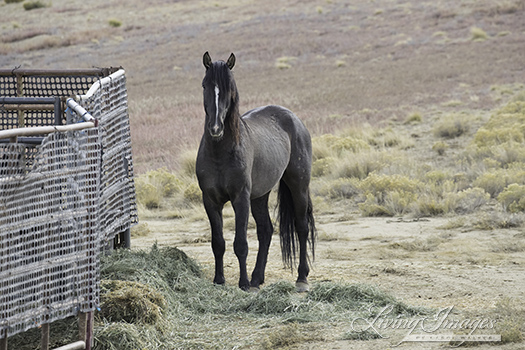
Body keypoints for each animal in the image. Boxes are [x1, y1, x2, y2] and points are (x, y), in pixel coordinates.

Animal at [194, 52, 314, 292]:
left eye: (229, 87)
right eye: (204, 85)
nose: (215, 128)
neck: (220, 153)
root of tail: (293, 118)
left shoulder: (241, 198)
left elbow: (240, 243)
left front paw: (243, 283)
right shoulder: (210, 200)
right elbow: (218, 242)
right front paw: (219, 280)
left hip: (299, 186)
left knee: (301, 227)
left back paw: (301, 279)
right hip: (260, 195)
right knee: (265, 231)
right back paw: (257, 278)